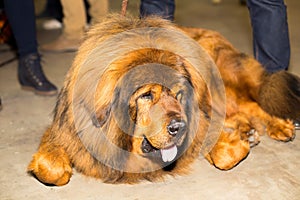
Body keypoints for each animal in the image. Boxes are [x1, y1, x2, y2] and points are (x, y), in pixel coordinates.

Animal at [27, 14, 298, 186]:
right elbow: (51, 169)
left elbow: (224, 156)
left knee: (253, 104)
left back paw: (279, 126)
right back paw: (249, 129)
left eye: (178, 94)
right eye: (147, 95)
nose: (179, 127)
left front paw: (237, 143)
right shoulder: (65, 132)